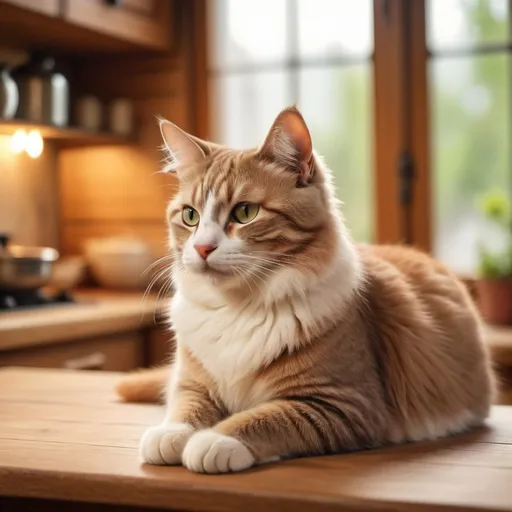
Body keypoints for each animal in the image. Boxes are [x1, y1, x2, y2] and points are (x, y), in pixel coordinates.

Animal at [117, 107, 496, 476]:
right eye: (190, 216)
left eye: (245, 212)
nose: (202, 248)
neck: (239, 307)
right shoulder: (192, 382)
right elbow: (185, 407)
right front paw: (171, 433)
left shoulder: (342, 403)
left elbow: (265, 419)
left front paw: (216, 440)